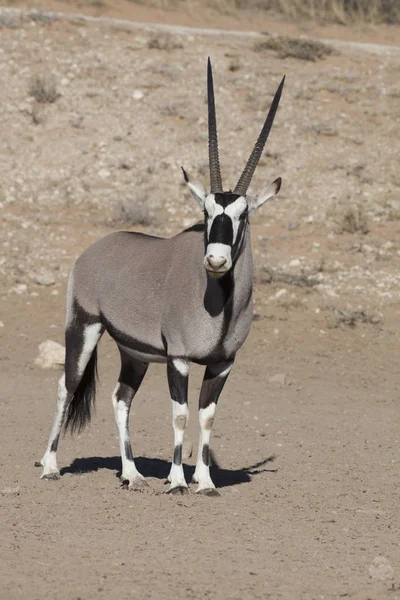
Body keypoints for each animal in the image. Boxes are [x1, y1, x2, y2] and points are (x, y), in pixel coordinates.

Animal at [36, 58, 282, 494]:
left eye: (243, 215)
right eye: (205, 211)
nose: (216, 260)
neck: (218, 303)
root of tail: (94, 250)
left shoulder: (223, 363)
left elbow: (206, 415)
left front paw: (205, 481)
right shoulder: (179, 358)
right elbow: (181, 414)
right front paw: (178, 480)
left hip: (134, 353)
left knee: (121, 397)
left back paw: (132, 473)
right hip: (83, 327)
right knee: (67, 385)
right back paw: (50, 465)